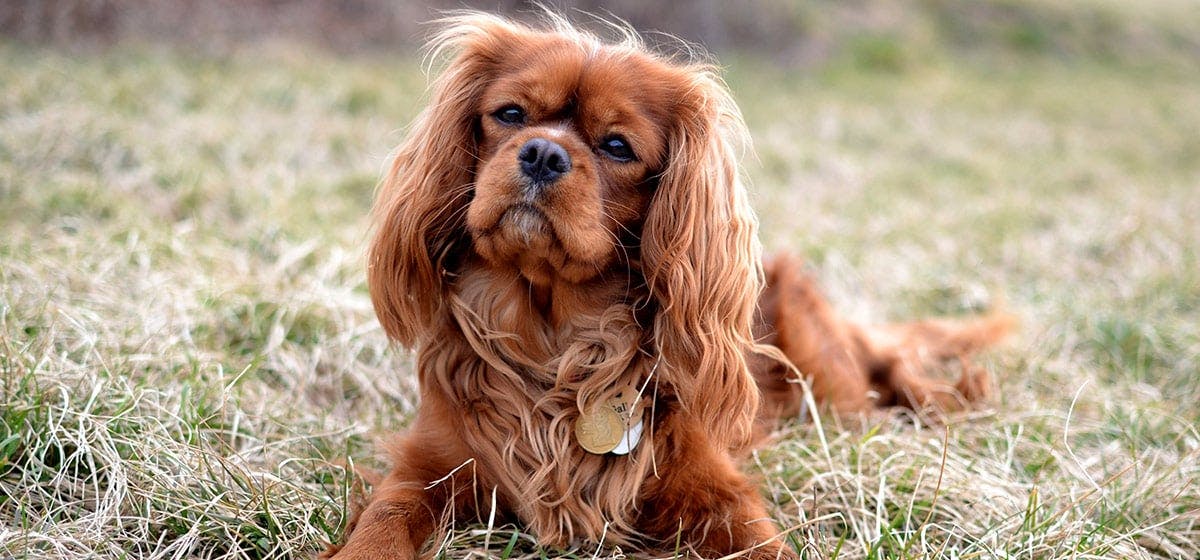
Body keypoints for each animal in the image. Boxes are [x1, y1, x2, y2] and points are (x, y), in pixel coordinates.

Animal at [324, 13, 1008, 560]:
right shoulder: (427, 466)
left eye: (617, 146)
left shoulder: (715, 488)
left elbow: (763, 543)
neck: (555, 338)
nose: (543, 152)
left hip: (834, 388)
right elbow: (386, 519)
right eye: (511, 114)